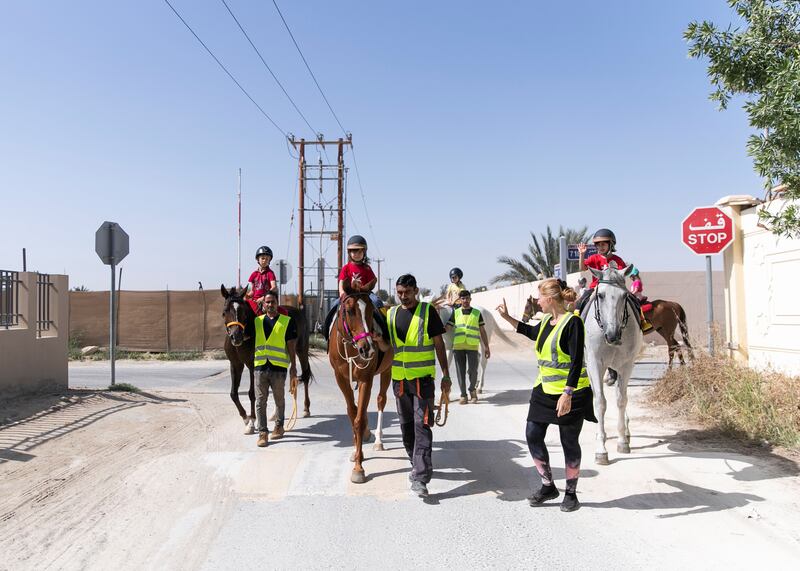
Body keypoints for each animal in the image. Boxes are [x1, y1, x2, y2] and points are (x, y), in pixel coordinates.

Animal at [223, 286, 318, 434]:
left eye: (243, 311)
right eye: (226, 310)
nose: (236, 336)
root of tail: (299, 311)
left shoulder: (253, 365)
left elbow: (252, 393)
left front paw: (252, 421)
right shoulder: (235, 364)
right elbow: (233, 393)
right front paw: (245, 418)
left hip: (301, 350)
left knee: (306, 376)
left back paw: (306, 409)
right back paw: (274, 414)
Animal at [326, 292, 392, 484]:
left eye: (370, 310)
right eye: (349, 311)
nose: (367, 348)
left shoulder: (365, 379)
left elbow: (359, 419)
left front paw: (358, 469)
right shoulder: (341, 379)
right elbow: (352, 412)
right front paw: (356, 453)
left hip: (387, 370)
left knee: (381, 400)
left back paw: (378, 441)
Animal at [580, 266, 644, 466]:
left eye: (625, 296)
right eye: (600, 295)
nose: (612, 335)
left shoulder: (626, 365)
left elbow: (621, 399)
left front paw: (622, 441)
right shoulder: (594, 363)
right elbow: (600, 402)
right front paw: (601, 449)